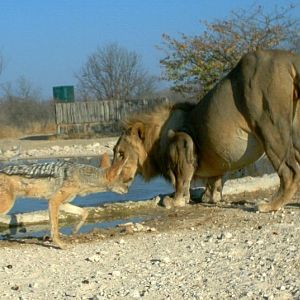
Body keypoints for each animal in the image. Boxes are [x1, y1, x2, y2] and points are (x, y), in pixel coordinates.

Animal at [112, 49, 300, 212]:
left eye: (121, 153)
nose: (110, 181)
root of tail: (290, 58)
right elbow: (213, 182)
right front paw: (210, 197)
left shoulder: (182, 140)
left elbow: (181, 180)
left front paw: (174, 200)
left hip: (269, 124)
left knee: (290, 171)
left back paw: (269, 205)